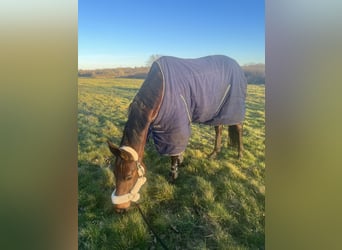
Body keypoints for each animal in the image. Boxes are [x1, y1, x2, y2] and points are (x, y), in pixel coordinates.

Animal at [107, 55, 246, 212]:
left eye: (129, 176)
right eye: (114, 172)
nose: (119, 208)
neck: (161, 90)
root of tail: (236, 65)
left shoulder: (174, 128)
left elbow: (173, 155)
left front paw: (173, 176)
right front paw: (181, 161)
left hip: (233, 108)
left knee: (238, 128)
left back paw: (240, 154)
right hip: (218, 112)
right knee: (219, 129)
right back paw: (213, 154)